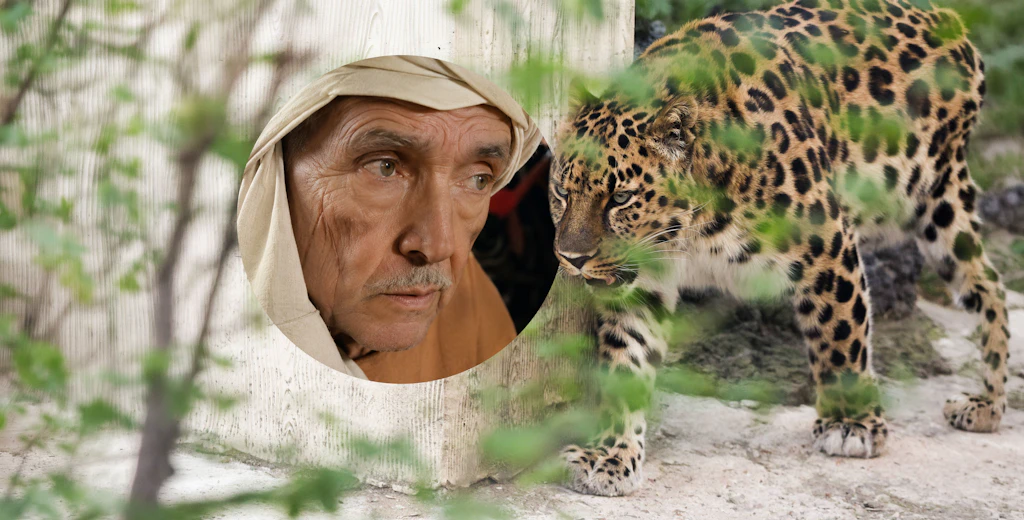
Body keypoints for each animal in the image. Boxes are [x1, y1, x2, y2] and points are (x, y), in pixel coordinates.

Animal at [548, 0, 1010, 497]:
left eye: (620, 198)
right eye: (561, 191)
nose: (572, 259)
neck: (690, 232)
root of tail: (948, 18)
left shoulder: (828, 243)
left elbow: (840, 336)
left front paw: (853, 424)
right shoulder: (643, 280)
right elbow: (626, 362)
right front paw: (610, 454)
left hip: (933, 197)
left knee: (989, 284)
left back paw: (987, 405)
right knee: (990, 282)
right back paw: (986, 406)